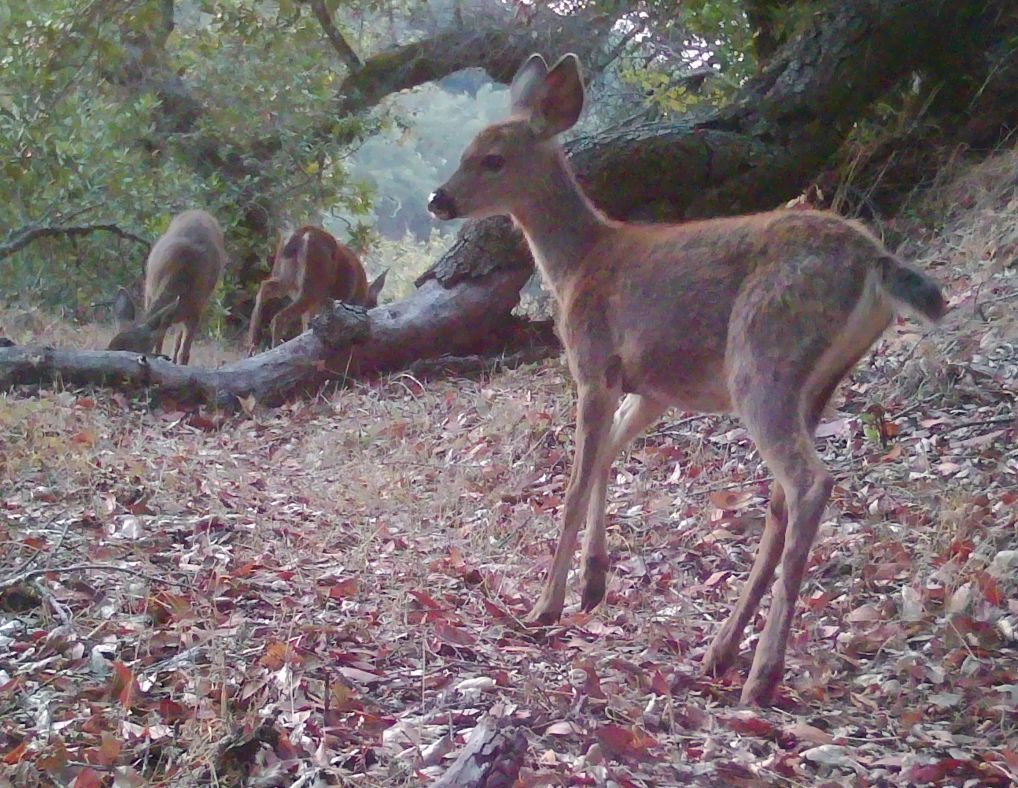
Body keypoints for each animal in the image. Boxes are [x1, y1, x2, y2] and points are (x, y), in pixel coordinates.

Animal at [108, 209, 226, 366]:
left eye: (134, 351)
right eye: (108, 348)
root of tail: (199, 211)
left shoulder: (196, 312)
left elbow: (185, 354)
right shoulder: (150, 295)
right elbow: (159, 343)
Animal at [247, 226, 387, 352]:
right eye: (374, 306)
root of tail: (303, 231)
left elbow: (306, 328)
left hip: (286, 278)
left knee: (265, 287)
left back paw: (252, 344)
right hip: (313, 284)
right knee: (279, 316)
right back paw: (274, 348)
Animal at [427, 53, 946, 706]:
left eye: (492, 158)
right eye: (466, 149)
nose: (438, 199)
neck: (576, 266)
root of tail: (875, 262)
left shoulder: (593, 362)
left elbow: (573, 483)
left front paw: (546, 604)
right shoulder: (651, 388)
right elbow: (607, 456)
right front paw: (594, 582)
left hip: (761, 357)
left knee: (810, 482)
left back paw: (762, 674)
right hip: (816, 383)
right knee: (782, 498)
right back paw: (721, 650)